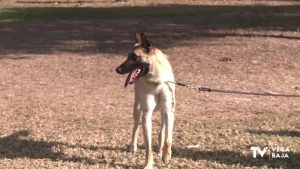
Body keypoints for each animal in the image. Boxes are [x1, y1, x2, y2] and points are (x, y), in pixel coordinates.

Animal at [115, 32, 176, 168]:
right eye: (127, 56)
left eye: (135, 56)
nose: (117, 70)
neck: (157, 81)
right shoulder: (146, 114)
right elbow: (148, 146)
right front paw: (148, 164)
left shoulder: (169, 111)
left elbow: (168, 138)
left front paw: (166, 155)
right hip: (137, 109)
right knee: (135, 127)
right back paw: (133, 147)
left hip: (163, 111)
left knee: (162, 130)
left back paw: (160, 150)